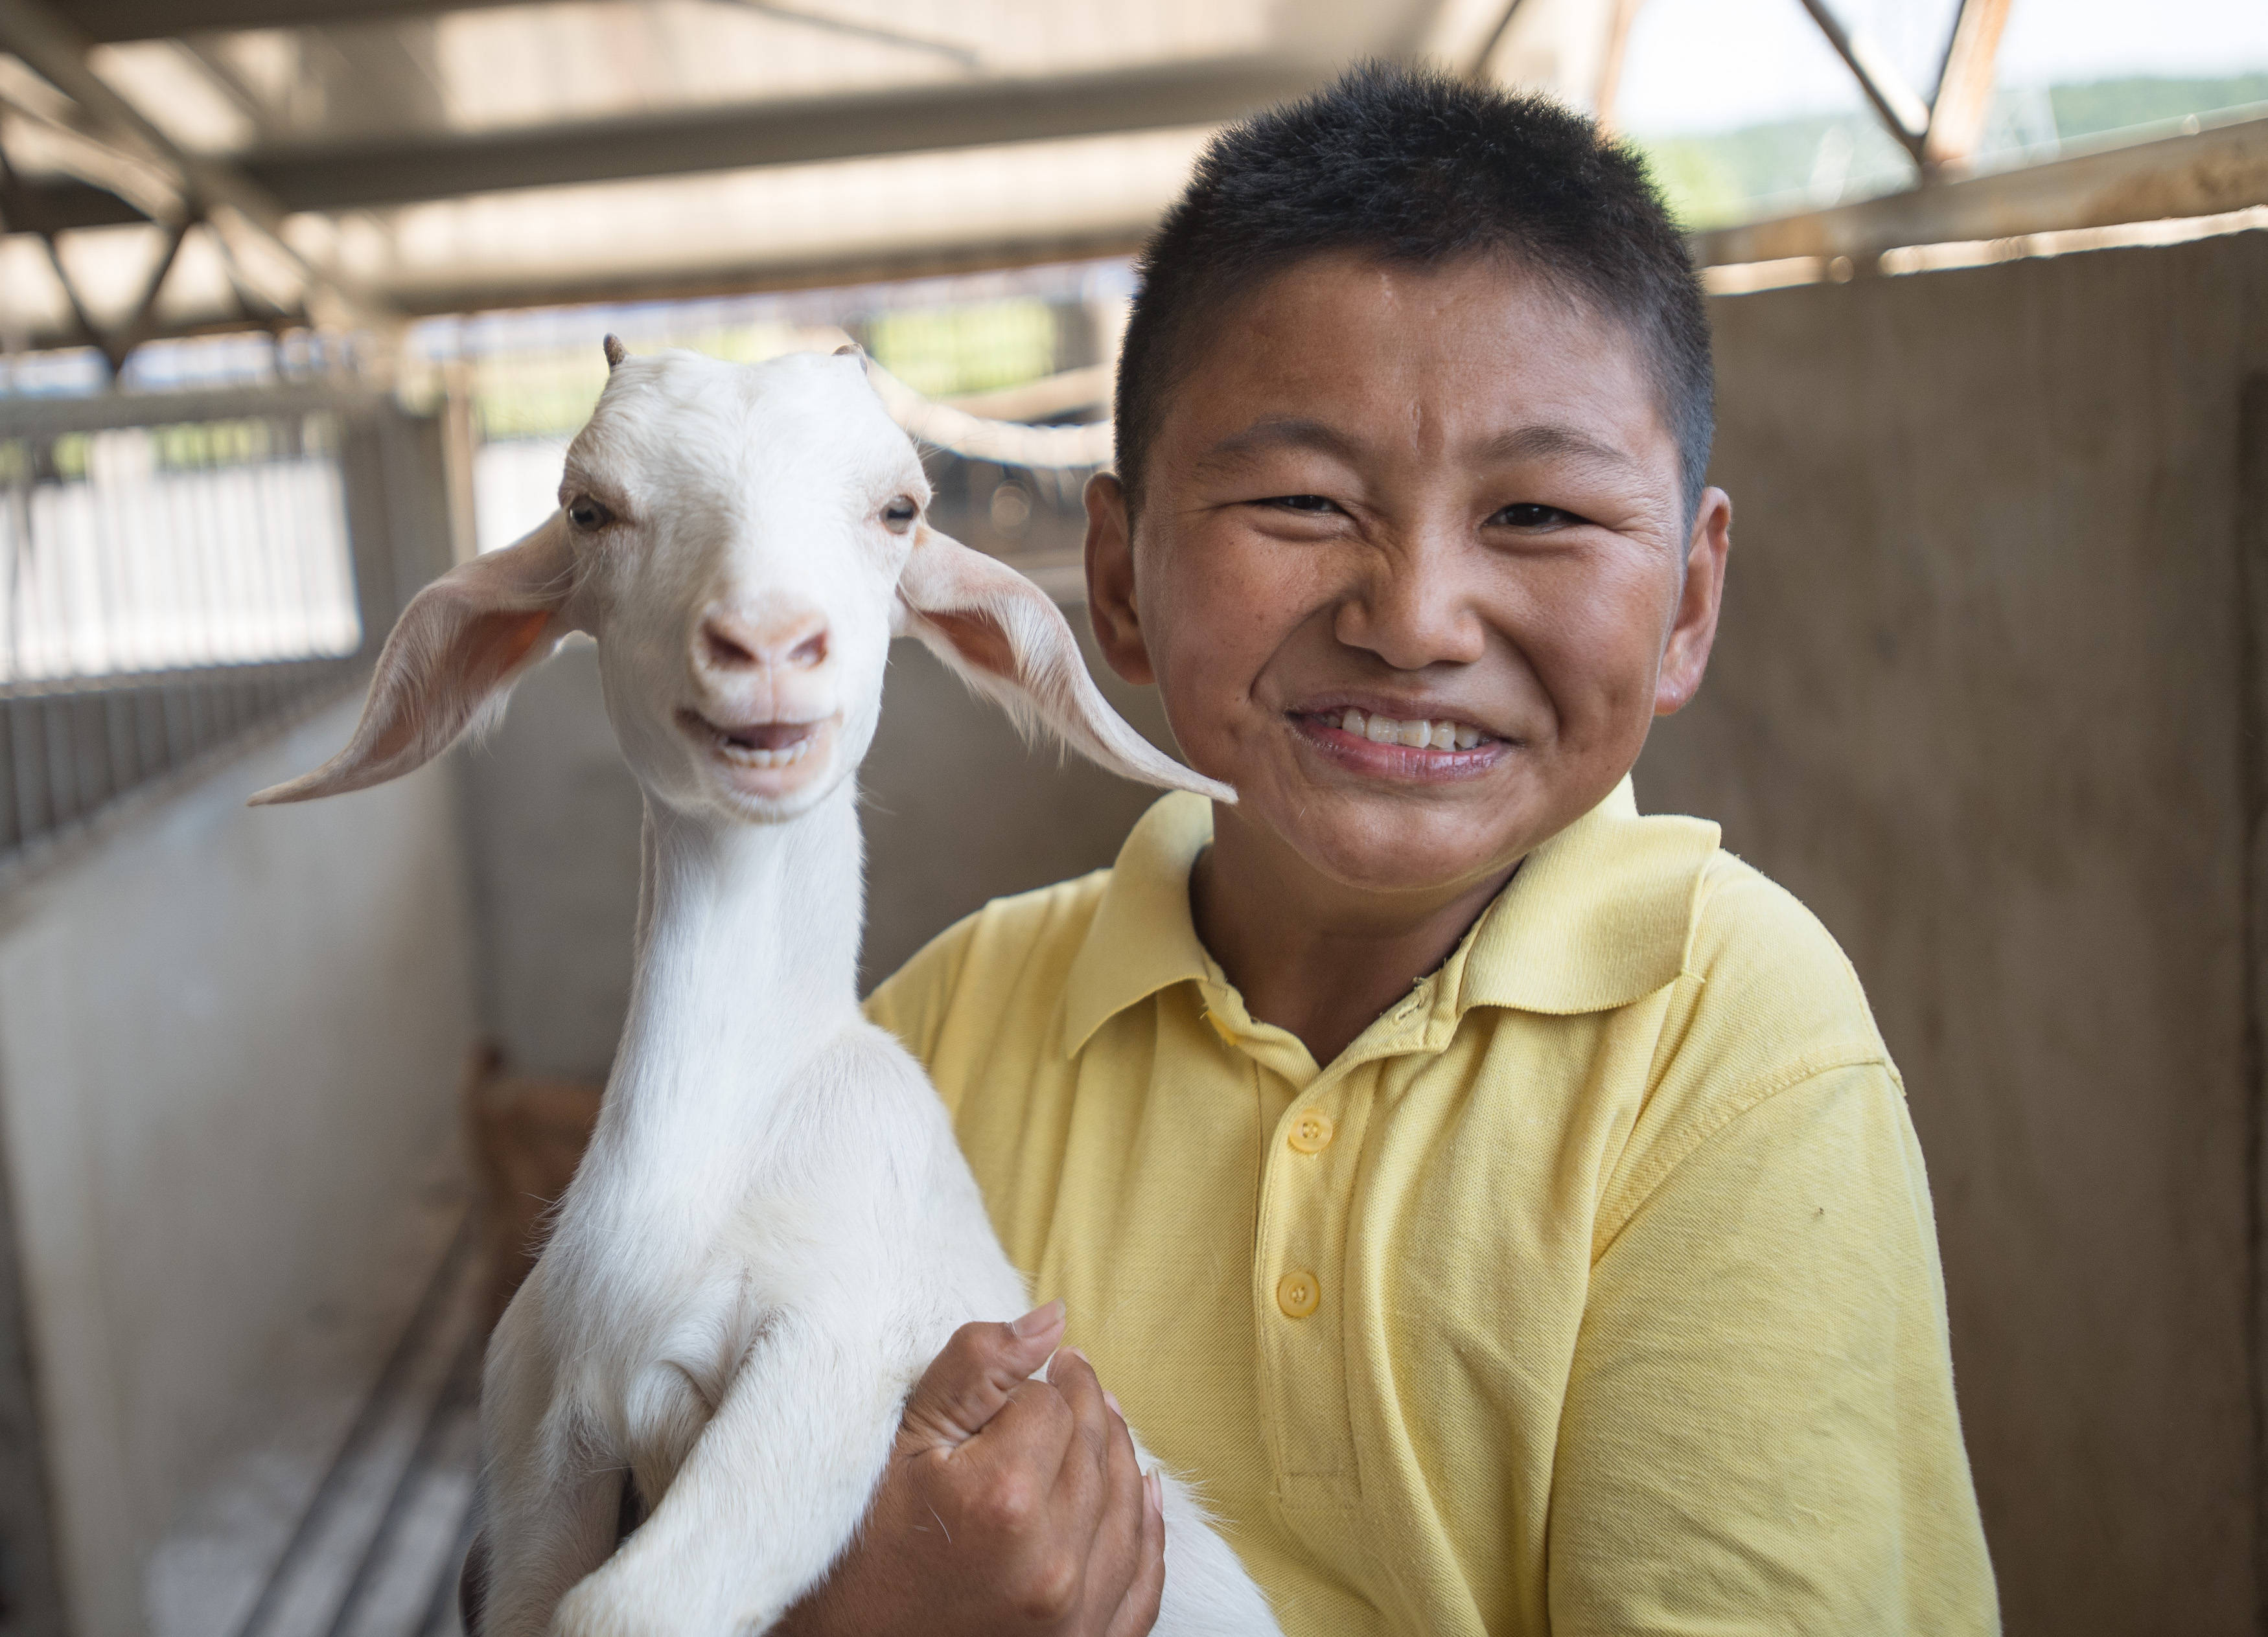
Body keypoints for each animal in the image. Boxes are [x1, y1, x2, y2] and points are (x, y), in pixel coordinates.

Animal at [257, 338, 1288, 1623]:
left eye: (899, 508)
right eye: (589, 507)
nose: (767, 644)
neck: (710, 1164)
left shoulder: (831, 1363)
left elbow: (620, 1603)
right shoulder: (544, 1424)